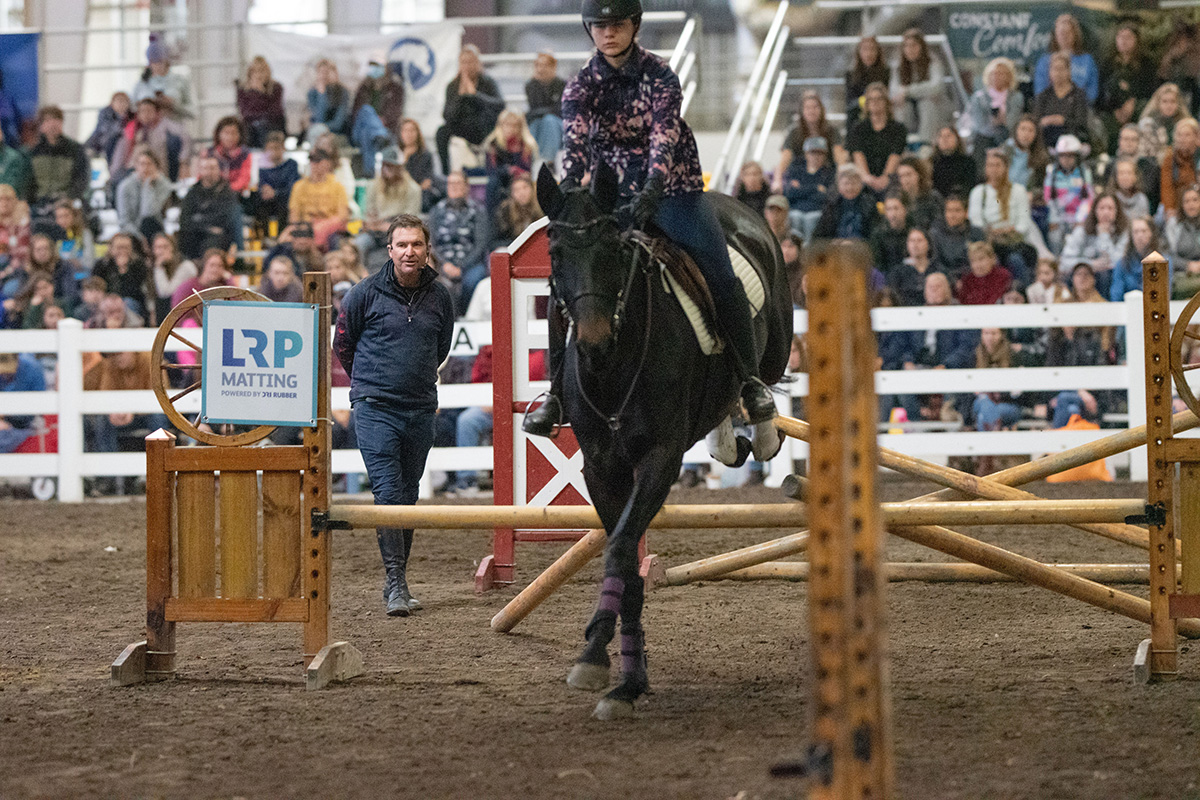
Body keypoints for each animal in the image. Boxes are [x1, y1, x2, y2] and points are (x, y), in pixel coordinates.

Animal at [540, 164, 792, 719]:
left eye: (613, 250)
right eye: (556, 253)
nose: (592, 342)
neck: (614, 369)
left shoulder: (659, 462)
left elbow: (619, 550)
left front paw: (613, 671)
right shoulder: (601, 468)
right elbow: (626, 560)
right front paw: (615, 666)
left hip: (775, 342)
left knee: (761, 382)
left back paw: (760, 425)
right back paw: (726, 442)